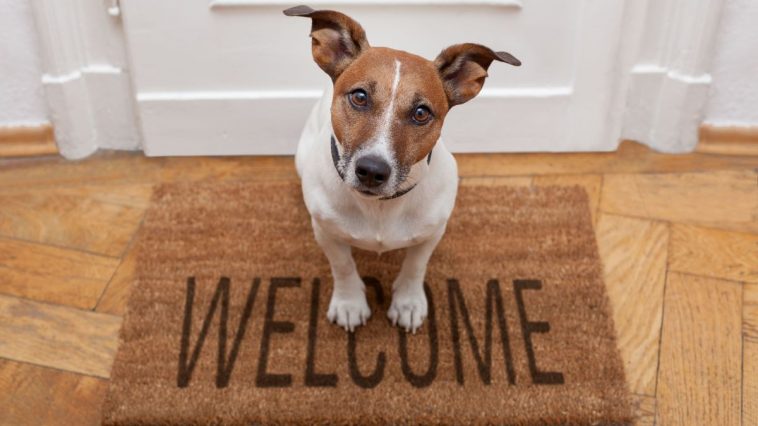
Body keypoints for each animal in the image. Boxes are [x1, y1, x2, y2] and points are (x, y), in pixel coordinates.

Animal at [286, 5, 524, 332]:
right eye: (359, 96)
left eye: (421, 113)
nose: (372, 170)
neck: (380, 207)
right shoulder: (326, 232)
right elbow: (343, 266)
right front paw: (349, 303)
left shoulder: (432, 233)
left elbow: (415, 266)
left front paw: (408, 303)